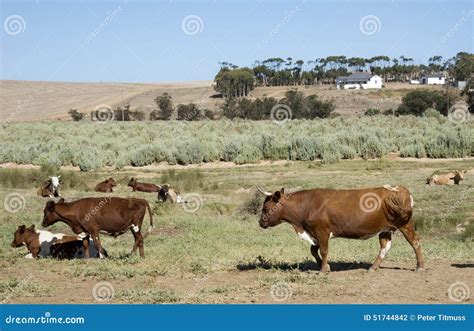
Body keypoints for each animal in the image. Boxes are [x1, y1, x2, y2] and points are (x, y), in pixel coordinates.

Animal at [258, 185, 424, 274]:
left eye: (265, 208)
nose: (260, 222)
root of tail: (398, 189)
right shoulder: (314, 233)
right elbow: (313, 250)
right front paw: (324, 266)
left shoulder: (322, 231)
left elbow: (324, 251)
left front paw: (323, 270)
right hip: (385, 229)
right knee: (385, 246)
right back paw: (373, 267)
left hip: (405, 224)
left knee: (415, 242)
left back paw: (419, 266)